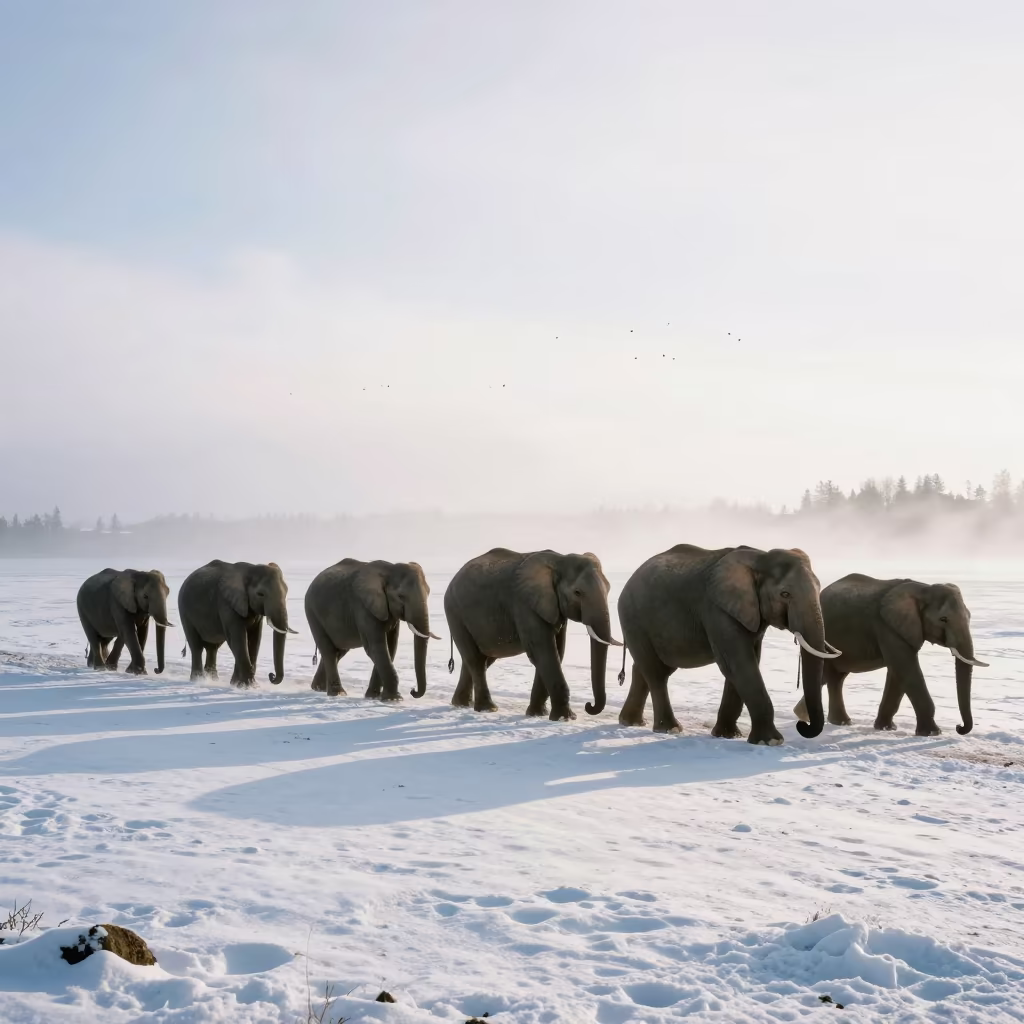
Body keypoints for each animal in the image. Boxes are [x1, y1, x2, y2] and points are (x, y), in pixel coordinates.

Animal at [304, 558, 439, 700]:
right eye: (401, 596)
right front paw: (393, 699)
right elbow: (376, 647)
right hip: (312, 612)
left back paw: (318, 688)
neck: (389, 570)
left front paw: (373, 697)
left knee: (339, 651)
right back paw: (337, 693)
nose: (413, 691)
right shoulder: (363, 607)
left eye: (428, 592)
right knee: (329, 650)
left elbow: (391, 646)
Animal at [444, 548, 621, 720]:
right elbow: (544, 651)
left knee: (481, 659)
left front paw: (537, 714)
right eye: (577, 592)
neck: (559, 560)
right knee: (476, 660)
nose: (588, 705)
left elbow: (557, 651)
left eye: (609, 588)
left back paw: (461, 704)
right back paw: (488, 709)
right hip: (455, 613)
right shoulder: (525, 605)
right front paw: (566, 718)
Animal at [617, 545, 840, 743]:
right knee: (656, 673)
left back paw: (631, 722)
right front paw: (770, 742)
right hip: (633, 618)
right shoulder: (717, 610)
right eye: (785, 594)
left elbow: (745, 662)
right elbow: (738, 664)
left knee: (647, 669)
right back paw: (669, 729)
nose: (802, 725)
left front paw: (728, 736)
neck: (760, 558)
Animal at [793, 574, 987, 736]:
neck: (923, 589)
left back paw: (813, 717)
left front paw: (886, 728)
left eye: (969, 616)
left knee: (834, 677)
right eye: (943, 619)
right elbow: (906, 668)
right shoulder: (887, 627)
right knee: (831, 676)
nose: (959, 727)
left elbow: (898, 672)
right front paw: (932, 733)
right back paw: (833, 722)